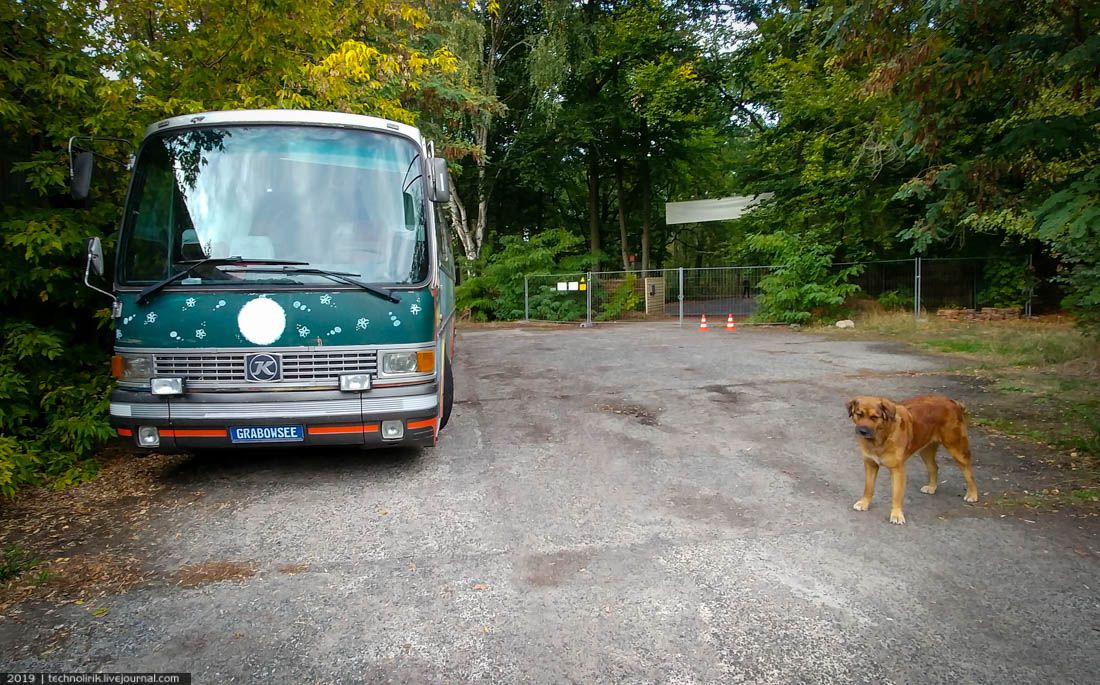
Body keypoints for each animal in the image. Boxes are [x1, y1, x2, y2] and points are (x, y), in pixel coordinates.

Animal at [844, 395, 976, 525]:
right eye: (859, 414)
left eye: (874, 417)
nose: (862, 431)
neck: (881, 436)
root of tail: (951, 401)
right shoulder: (870, 464)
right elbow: (868, 487)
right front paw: (864, 503)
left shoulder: (898, 470)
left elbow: (897, 495)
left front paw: (896, 515)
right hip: (926, 449)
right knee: (934, 467)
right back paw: (932, 487)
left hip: (957, 448)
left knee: (969, 472)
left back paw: (972, 494)